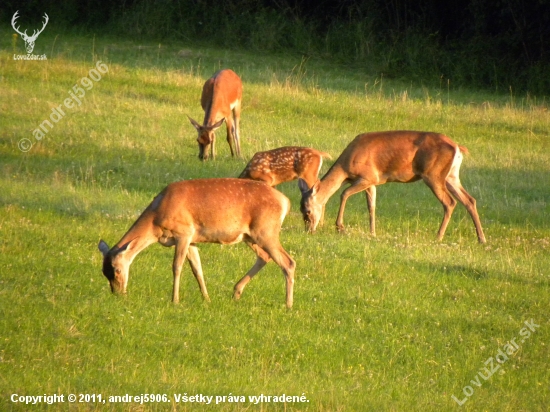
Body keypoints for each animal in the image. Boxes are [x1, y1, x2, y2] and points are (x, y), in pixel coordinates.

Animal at [99, 179, 298, 308]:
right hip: (250, 236)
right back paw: (236, 292)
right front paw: (206, 298)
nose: (117, 293)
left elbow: (176, 266)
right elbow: (197, 269)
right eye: (104, 272)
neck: (156, 220)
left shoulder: (184, 232)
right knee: (264, 257)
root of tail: (286, 202)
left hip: (266, 231)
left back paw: (288, 305)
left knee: (288, 262)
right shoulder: (192, 240)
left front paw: (175, 300)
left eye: (117, 270)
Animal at [302, 130, 488, 243]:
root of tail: (457, 147)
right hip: (451, 176)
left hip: (433, 175)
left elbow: (344, 194)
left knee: (450, 202)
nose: (308, 230)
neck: (345, 168)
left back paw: (438, 237)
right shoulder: (372, 182)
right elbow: (371, 206)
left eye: (308, 211)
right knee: (469, 200)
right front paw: (372, 233)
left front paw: (340, 227)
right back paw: (481, 238)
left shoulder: (368, 176)